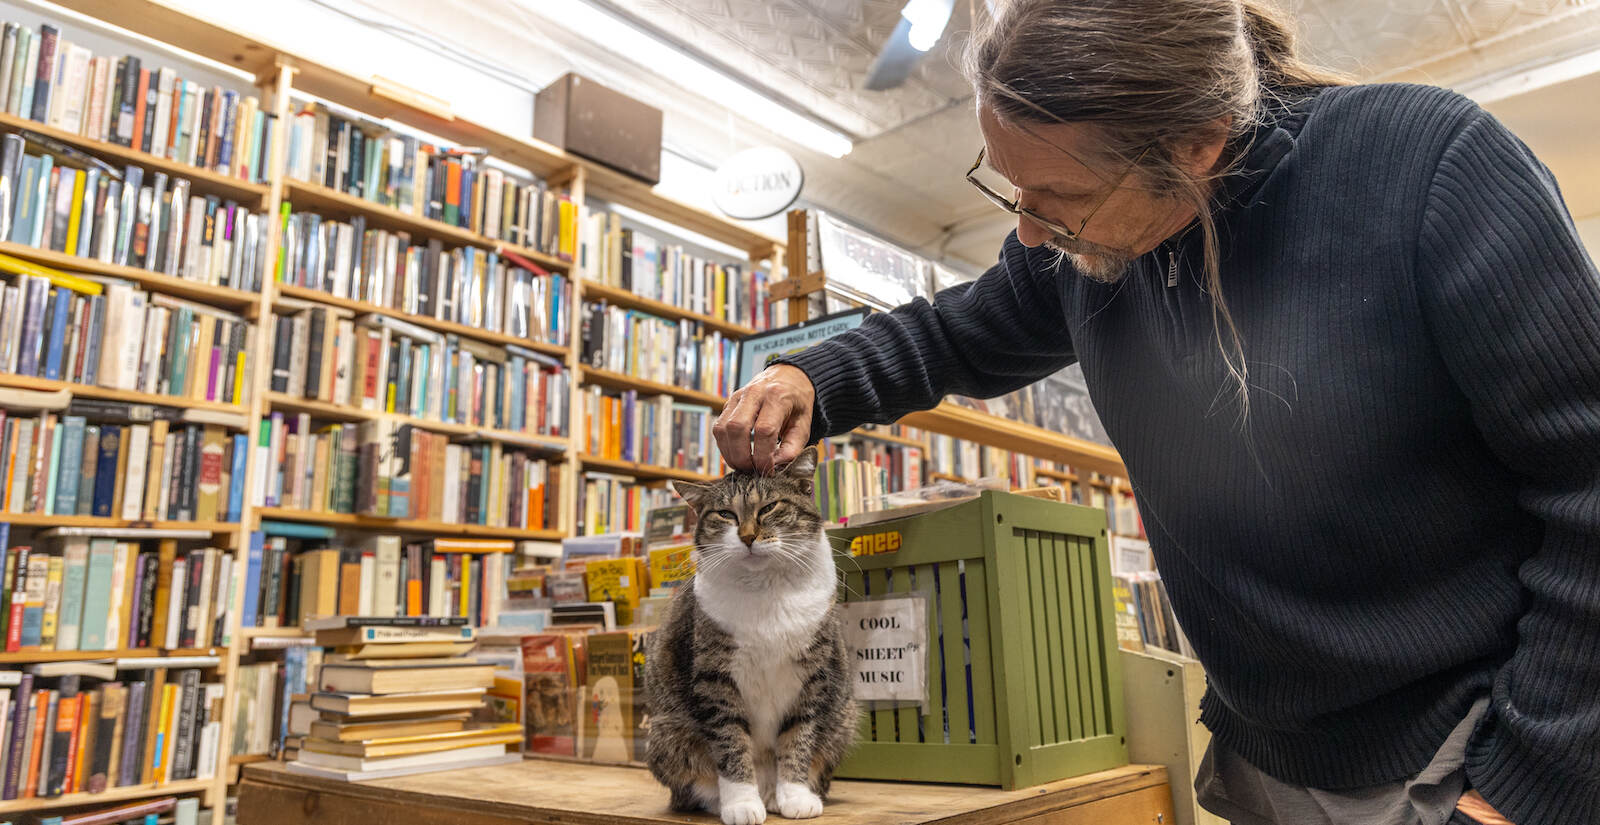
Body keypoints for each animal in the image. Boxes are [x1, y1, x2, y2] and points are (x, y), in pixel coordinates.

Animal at [643, 447, 857, 818]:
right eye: (725, 514)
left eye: (769, 507)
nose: (747, 536)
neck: (765, 586)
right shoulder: (715, 678)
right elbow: (730, 741)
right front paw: (742, 803)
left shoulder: (812, 674)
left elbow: (799, 736)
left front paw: (796, 796)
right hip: (665, 733)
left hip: (844, 718)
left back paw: (778, 796)